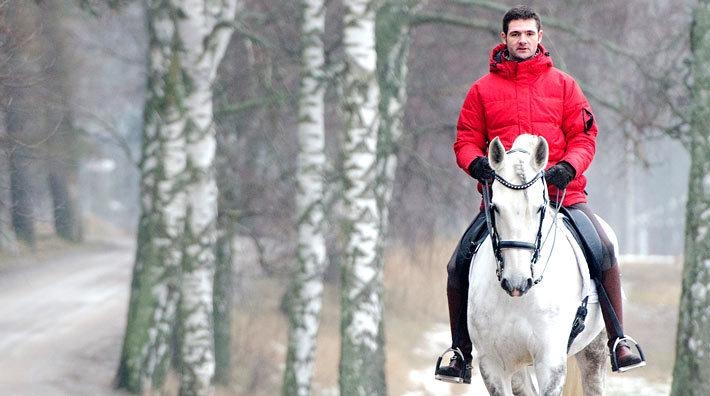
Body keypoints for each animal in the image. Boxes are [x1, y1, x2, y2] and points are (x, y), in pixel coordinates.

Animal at [472, 135, 612, 394]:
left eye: (540, 207)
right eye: (495, 207)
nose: (517, 282)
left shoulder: (550, 362)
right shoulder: (493, 365)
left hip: (594, 352)